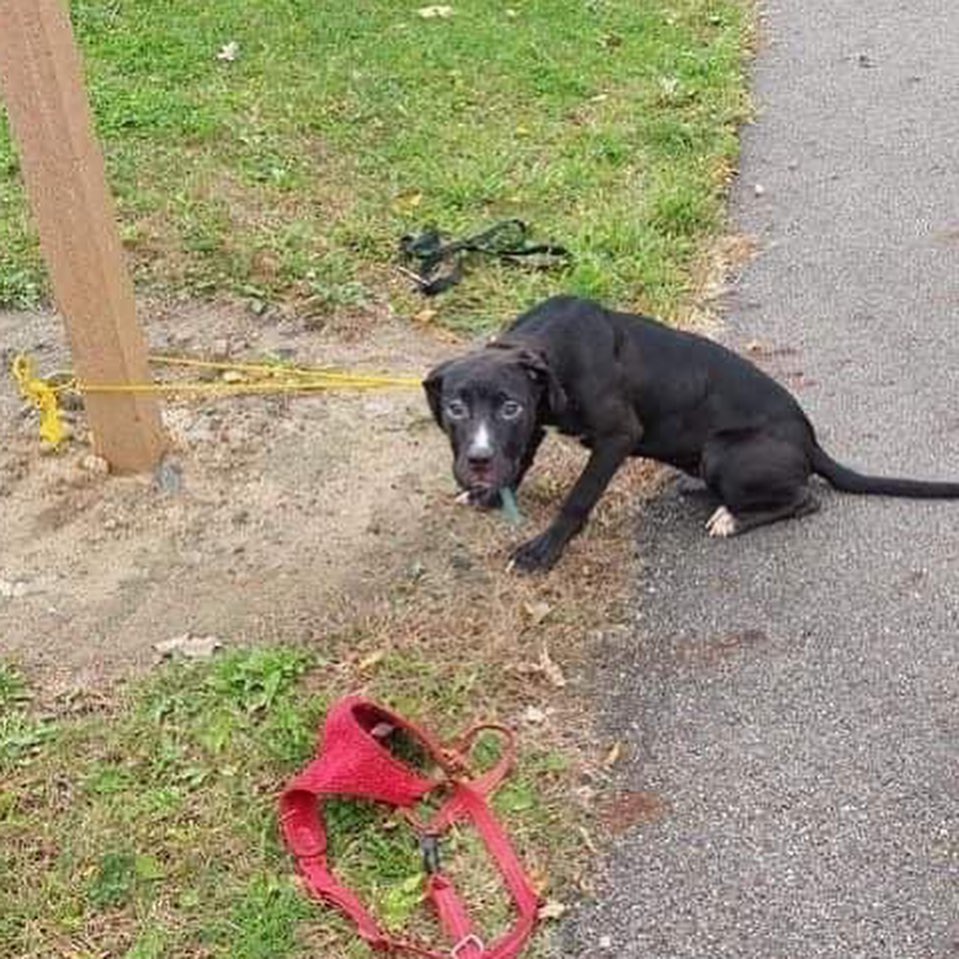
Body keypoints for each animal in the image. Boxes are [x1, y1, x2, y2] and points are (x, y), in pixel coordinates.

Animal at [426, 296, 959, 572]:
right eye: (455, 408)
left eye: (509, 407)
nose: (477, 461)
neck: (547, 345)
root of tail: (810, 443)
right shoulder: (539, 418)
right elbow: (522, 458)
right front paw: (491, 493)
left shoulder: (616, 436)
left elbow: (578, 497)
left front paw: (544, 549)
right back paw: (699, 489)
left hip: (725, 451)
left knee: (804, 499)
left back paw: (733, 518)